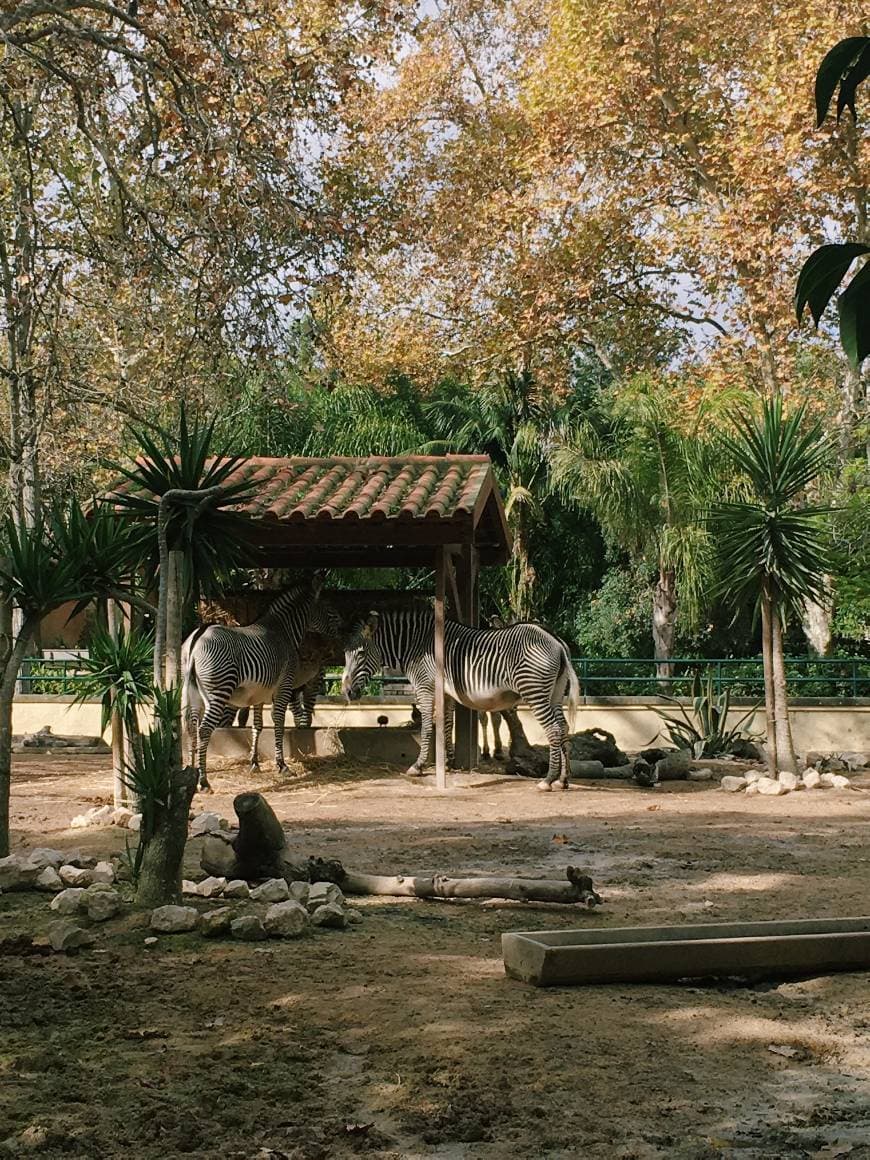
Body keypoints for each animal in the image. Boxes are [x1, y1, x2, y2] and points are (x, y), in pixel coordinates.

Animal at [184, 580, 334, 788]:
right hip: (218, 691)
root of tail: (197, 638)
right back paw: (203, 780)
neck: (283, 631)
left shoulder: (259, 694)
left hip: (193, 693)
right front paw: (282, 765)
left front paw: (254, 763)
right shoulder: (284, 686)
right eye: (328, 610)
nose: (335, 638)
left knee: (191, 727)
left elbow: (257, 726)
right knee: (204, 729)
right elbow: (279, 722)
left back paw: (192, 772)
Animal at [343, 607, 582, 788]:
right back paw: (563, 780)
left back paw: (547, 780)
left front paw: (418, 766)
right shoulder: (446, 692)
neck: (416, 643)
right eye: (345, 654)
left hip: (535, 691)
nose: (347, 692)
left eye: (361, 654)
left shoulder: (425, 686)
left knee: (553, 730)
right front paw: (448, 762)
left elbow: (428, 727)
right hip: (555, 693)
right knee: (563, 728)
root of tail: (556, 641)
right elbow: (447, 724)